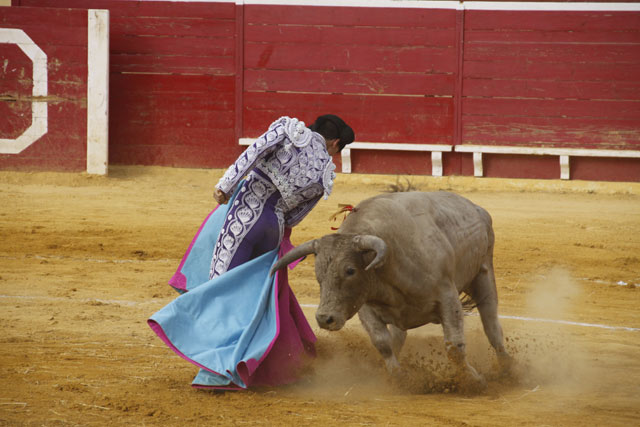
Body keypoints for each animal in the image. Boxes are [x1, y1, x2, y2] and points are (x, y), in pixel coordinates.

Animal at [272, 192, 512, 390]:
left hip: (483, 274)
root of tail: (476, 208)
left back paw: (507, 369)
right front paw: (399, 377)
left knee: (492, 325)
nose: (324, 318)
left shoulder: (448, 297)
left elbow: (454, 346)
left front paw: (474, 380)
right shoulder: (365, 306)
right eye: (318, 272)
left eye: (350, 270)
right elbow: (383, 343)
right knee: (398, 337)